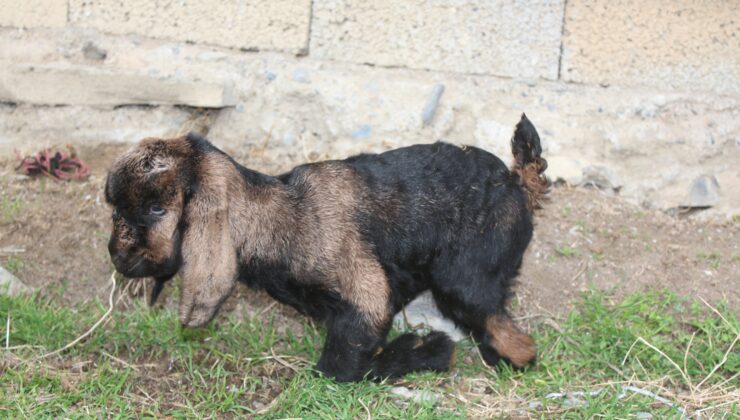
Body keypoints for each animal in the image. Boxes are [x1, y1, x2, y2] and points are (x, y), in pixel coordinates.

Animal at [107, 113, 552, 382]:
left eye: (155, 208)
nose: (115, 254)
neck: (279, 216)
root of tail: (518, 183)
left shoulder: (367, 295)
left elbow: (339, 367)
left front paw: (425, 350)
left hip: (464, 279)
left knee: (515, 338)